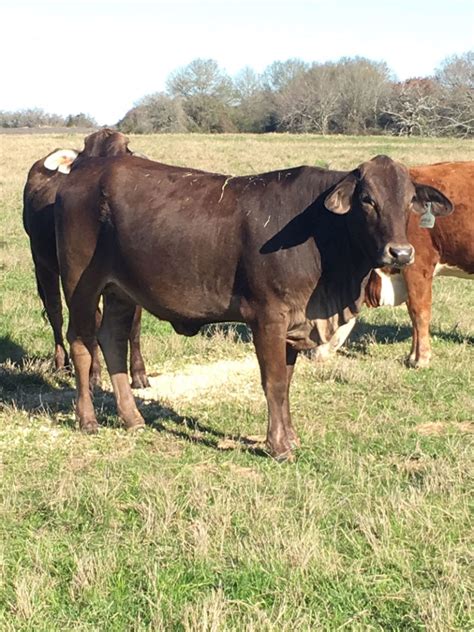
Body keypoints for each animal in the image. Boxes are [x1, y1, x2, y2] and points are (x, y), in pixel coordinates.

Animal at [21, 127, 148, 386]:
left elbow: (134, 325)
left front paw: (139, 373)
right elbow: (92, 324)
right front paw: (94, 374)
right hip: (43, 264)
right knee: (55, 312)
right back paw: (62, 363)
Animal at [55, 154, 452, 460]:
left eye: (409, 200)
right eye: (367, 199)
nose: (400, 253)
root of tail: (80, 174)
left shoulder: (295, 322)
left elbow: (287, 383)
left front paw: (290, 436)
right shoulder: (268, 317)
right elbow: (273, 382)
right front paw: (278, 446)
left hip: (121, 292)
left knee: (112, 340)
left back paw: (132, 418)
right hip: (80, 286)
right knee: (82, 344)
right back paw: (87, 419)